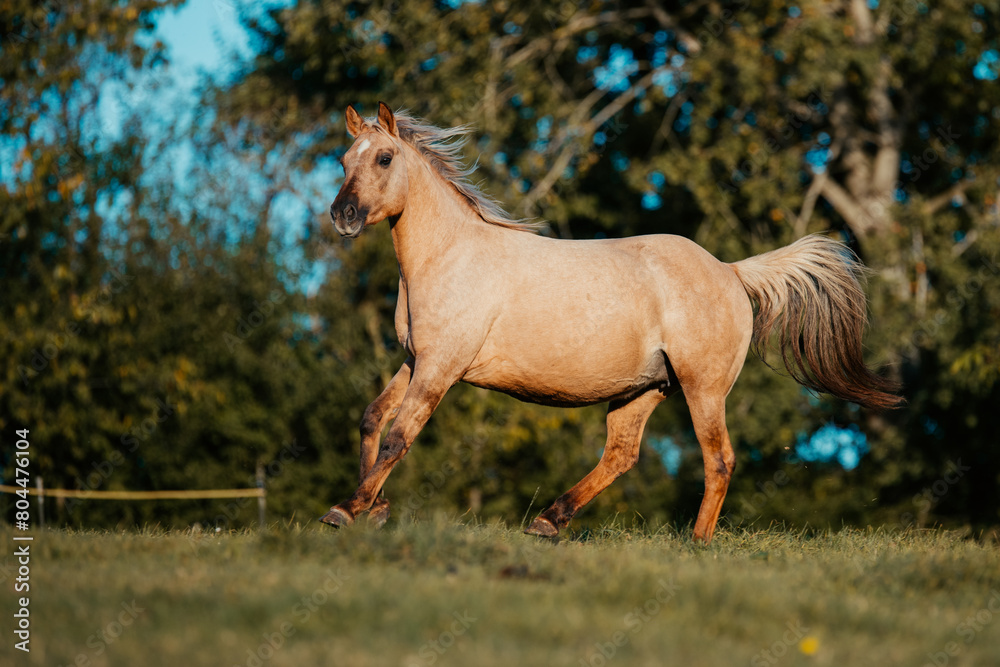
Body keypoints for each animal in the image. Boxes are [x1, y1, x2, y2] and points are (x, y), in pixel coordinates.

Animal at [321, 102, 900, 543]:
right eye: (345, 159)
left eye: (385, 157)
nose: (342, 216)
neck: (451, 256)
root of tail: (731, 272)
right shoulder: (415, 360)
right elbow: (372, 418)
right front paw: (373, 508)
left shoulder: (441, 367)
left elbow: (399, 435)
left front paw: (345, 511)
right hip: (644, 389)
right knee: (622, 454)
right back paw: (549, 522)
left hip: (703, 388)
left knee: (719, 460)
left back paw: (696, 544)